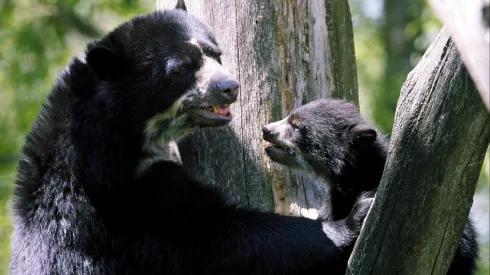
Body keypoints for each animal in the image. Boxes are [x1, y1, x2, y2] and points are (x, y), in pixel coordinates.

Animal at [10, 2, 372, 275]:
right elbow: (214, 236)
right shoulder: (122, 203)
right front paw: (352, 219)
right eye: (182, 68)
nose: (230, 87)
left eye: (216, 53)